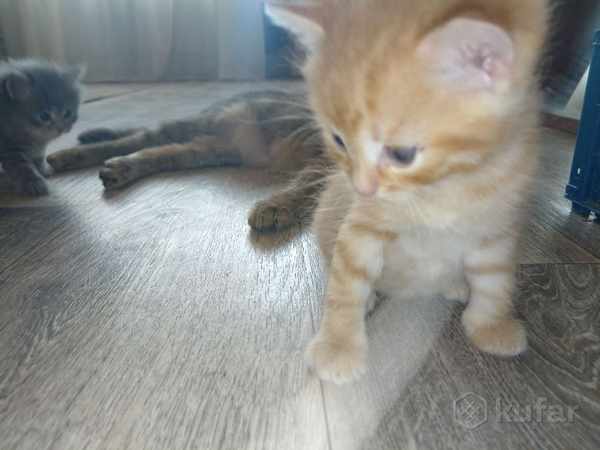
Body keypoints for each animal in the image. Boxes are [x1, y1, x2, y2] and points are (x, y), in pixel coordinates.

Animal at [0, 59, 84, 196]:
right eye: (44, 116)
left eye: (67, 113)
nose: (60, 128)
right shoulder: (10, 151)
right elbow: (23, 168)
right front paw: (34, 182)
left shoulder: (38, 148)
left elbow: (38, 158)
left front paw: (42, 171)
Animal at [47, 90, 331, 232]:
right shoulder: (324, 161)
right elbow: (306, 183)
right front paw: (275, 205)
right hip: (199, 124)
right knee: (140, 136)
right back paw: (67, 155)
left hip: (208, 150)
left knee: (159, 153)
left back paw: (120, 168)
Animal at [266, 0, 548, 383]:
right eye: (338, 140)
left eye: (402, 154)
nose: (362, 189)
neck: (450, 184)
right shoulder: (362, 226)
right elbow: (347, 283)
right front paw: (338, 346)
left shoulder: (497, 224)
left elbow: (495, 278)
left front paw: (491, 325)